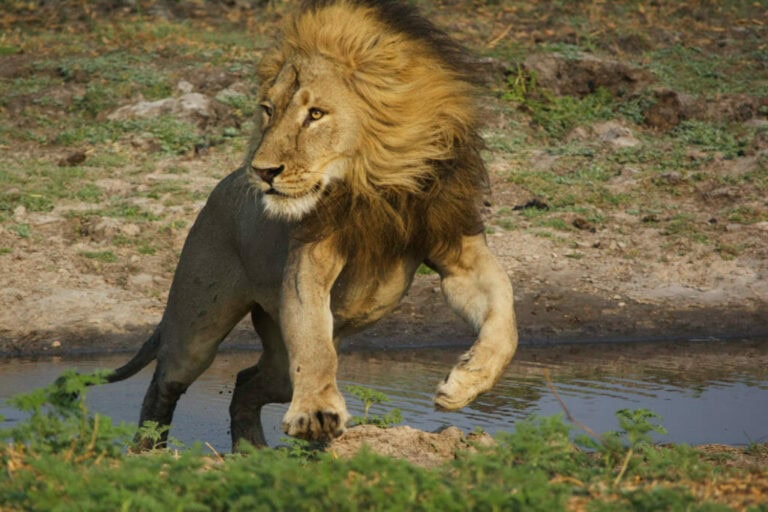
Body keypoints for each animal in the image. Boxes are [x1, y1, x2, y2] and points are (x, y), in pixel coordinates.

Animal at [106, 0, 519, 450]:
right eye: (268, 110)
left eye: (315, 114)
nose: (263, 172)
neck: (377, 184)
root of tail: (223, 185)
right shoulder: (311, 256)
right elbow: (315, 346)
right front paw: (317, 413)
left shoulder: (458, 247)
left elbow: (506, 318)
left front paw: (464, 382)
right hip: (197, 328)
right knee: (165, 381)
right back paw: (150, 450)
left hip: (278, 364)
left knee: (247, 382)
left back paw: (251, 450)